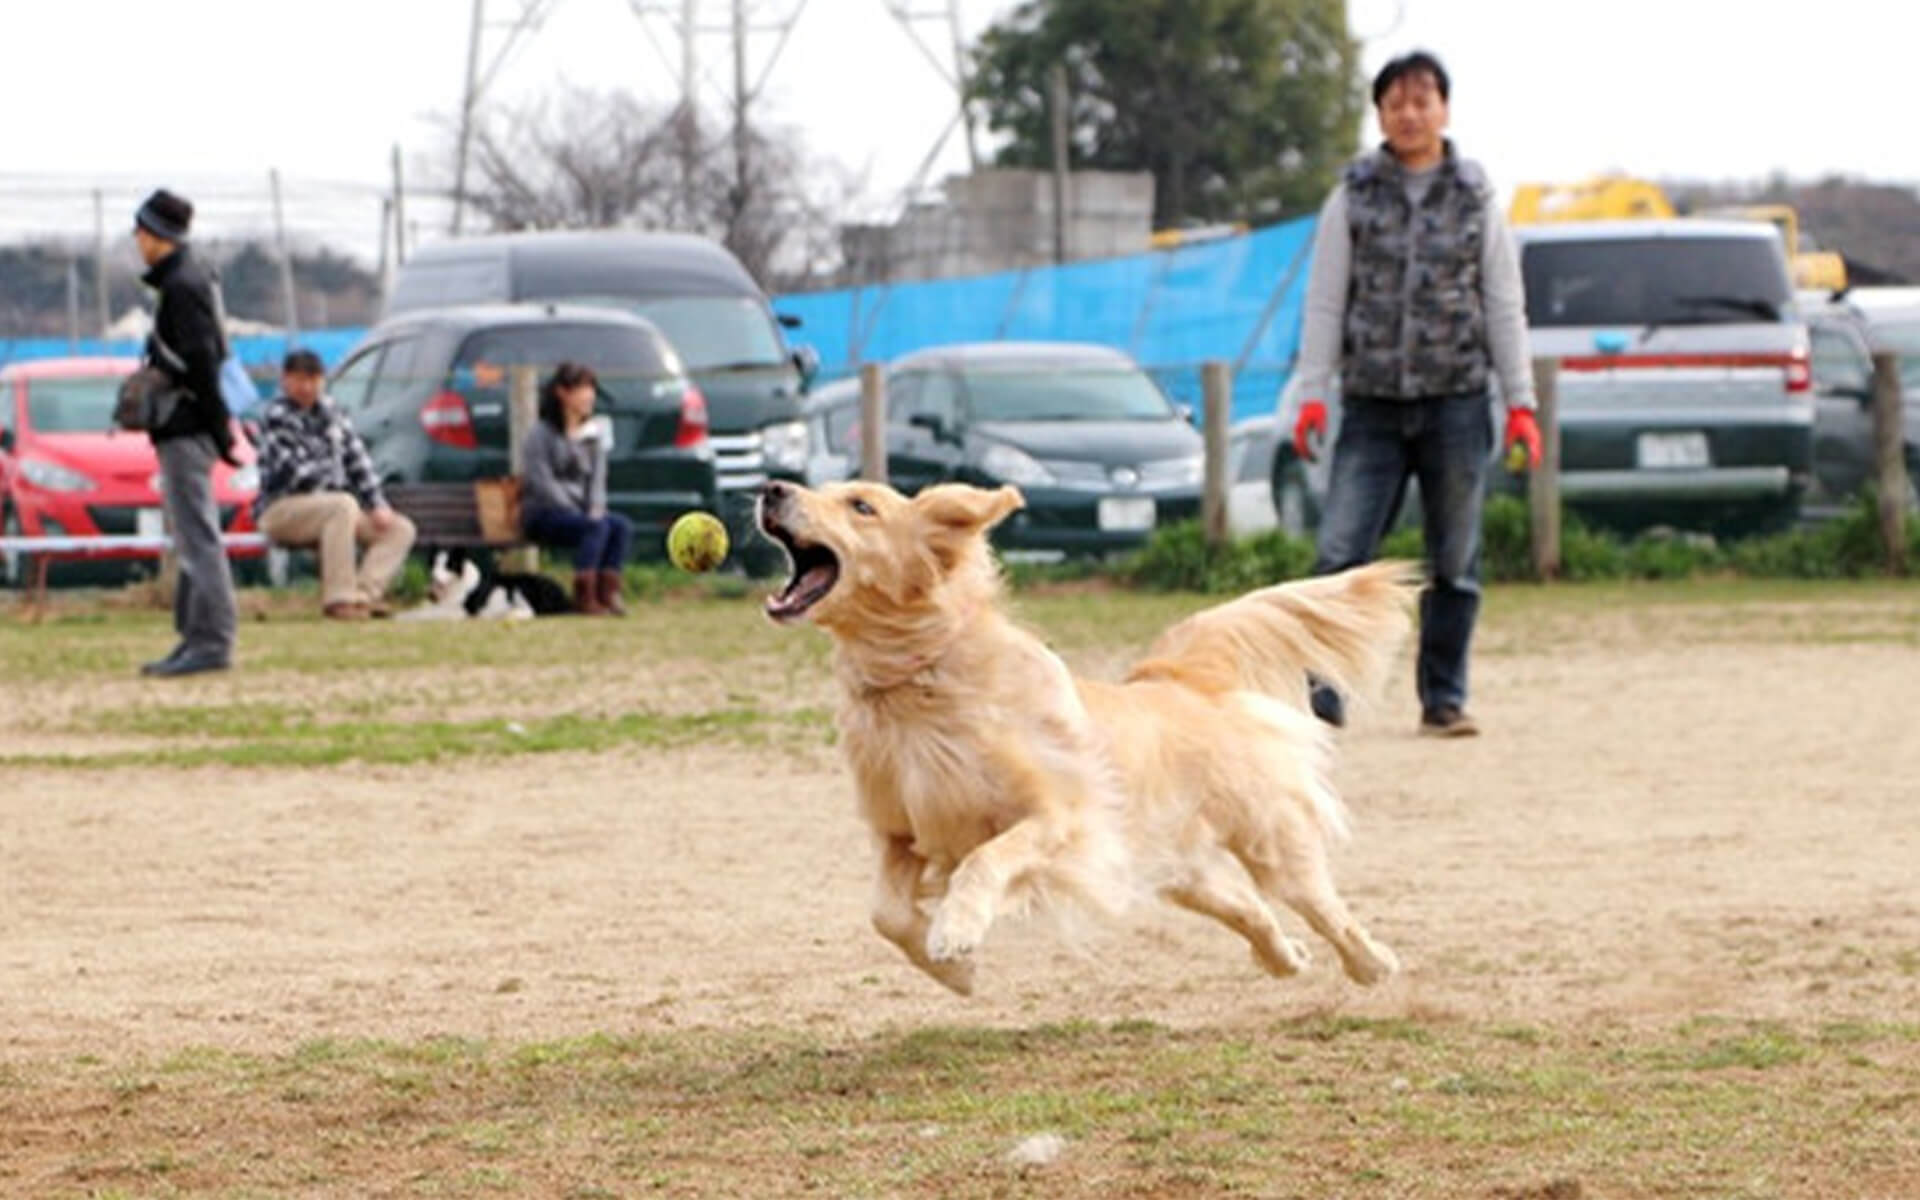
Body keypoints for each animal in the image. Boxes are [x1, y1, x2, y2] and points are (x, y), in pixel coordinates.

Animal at [391, 541, 564, 618]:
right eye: (434, 564)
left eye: (449, 566)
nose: (434, 578)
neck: (458, 583)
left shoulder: (460, 610)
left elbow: (423, 613)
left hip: (520, 588)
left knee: (531, 611)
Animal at [756, 478, 1420, 990]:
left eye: (861, 506)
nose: (771, 487)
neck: (918, 682)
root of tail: (1175, 678)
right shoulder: (900, 833)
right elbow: (886, 915)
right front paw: (957, 974)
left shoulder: (1058, 818)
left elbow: (985, 860)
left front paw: (956, 930)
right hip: (1180, 870)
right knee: (1248, 907)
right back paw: (1285, 960)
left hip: (1268, 839)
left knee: (1323, 906)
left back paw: (1371, 964)